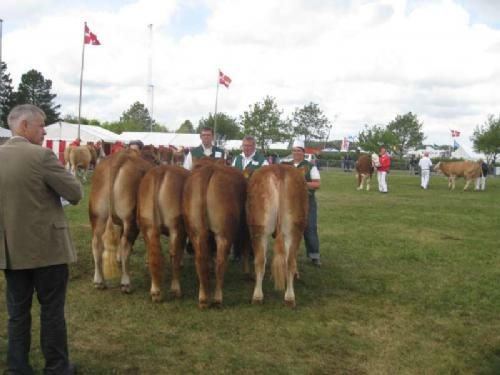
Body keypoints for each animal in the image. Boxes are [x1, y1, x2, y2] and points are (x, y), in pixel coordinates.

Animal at [89, 150, 153, 294]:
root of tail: (120, 157)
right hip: (130, 218)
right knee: (125, 244)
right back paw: (126, 283)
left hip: (97, 215)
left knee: (97, 243)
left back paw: (98, 281)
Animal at [137, 166, 189, 304]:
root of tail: (160, 172)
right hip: (175, 227)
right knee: (174, 254)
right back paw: (176, 289)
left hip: (148, 226)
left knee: (152, 252)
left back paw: (155, 291)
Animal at [183, 162, 247, 308]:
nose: (188, 248)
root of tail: (209, 170)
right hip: (224, 235)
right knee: (221, 261)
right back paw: (218, 299)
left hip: (197, 232)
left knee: (201, 260)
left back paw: (203, 299)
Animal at [246, 164, 308, 308]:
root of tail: (279, 170)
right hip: (292, 229)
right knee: (288, 261)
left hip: (260, 229)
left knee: (262, 261)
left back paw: (259, 297)